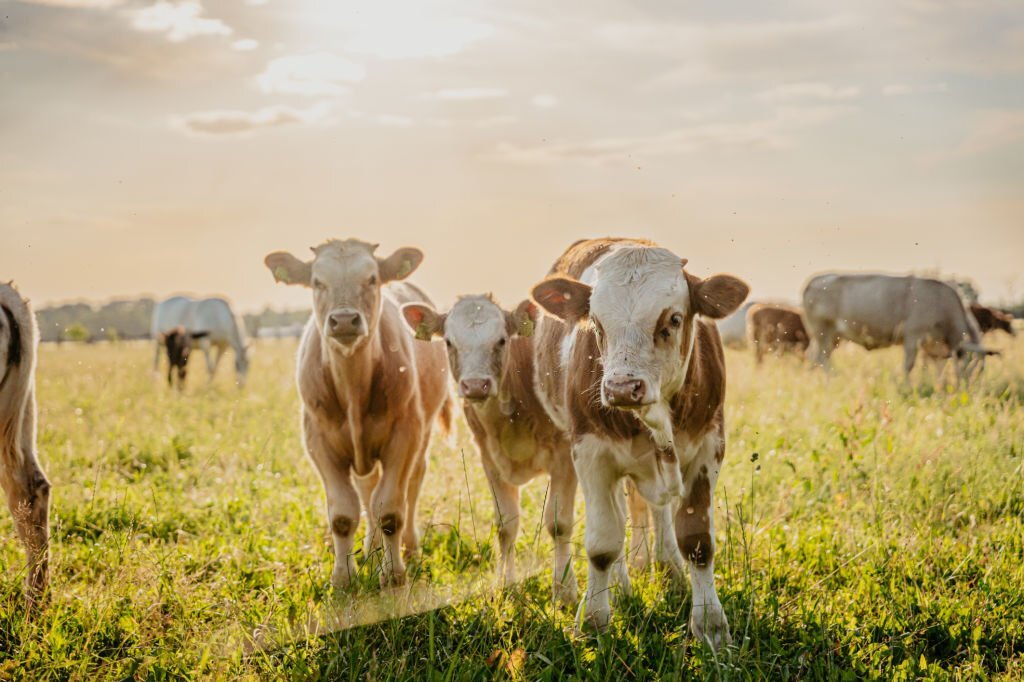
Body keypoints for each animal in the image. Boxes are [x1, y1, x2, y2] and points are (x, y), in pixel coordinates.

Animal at [264, 238, 452, 585]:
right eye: (317, 282)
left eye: (372, 279)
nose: (344, 320)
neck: (353, 390)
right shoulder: (319, 442)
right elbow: (343, 514)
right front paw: (343, 578)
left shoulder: (404, 436)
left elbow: (390, 511)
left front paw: (394, 575)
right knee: (368, 493)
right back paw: (370, 549)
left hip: (424, 431)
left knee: (412, 484)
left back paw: (409, 547)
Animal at [397, 292, 577, 602]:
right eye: (449, 342)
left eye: (502, 340)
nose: (475, 385)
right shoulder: (490, 460)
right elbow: (505, 525)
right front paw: (507, 585)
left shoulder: (565, 459)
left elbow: (559, 524)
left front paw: (565, 591)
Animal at [532, 237, 749, 647]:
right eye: (596, 323)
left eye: (673, 319)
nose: (621, 387)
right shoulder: (590, 454)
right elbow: (603, 544)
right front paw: (594, 621)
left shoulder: (709, 447)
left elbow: (697, 541)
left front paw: (712, 627)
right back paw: (611, 588)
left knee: (658, 514)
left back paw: (671, 572)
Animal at [802, 272, 995, 382]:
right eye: (970, 363)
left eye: (981, 369)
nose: (968, 388)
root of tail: (814, 282)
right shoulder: (913, 335)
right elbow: (909, 366)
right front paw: (907, 387)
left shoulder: (934, 348)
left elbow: (936, 368)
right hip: (823, 331)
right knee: (822, 359)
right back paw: (831, 380)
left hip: (833, 337)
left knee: (813, 357)